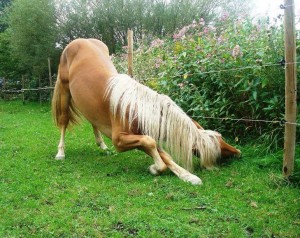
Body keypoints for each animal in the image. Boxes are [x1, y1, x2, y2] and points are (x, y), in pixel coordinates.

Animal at [51, 38, 239, 185]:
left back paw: (102, 145)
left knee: (92, 121)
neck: (134, 108)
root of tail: (78, 41)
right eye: (216, 149)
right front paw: (156, 168)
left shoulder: (140, 134)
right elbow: (152, 145)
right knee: (64, 121)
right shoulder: (120, 140)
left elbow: (162, 153)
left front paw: (187, 176)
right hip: (65, 91)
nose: (237, 153)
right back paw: (60, 152)